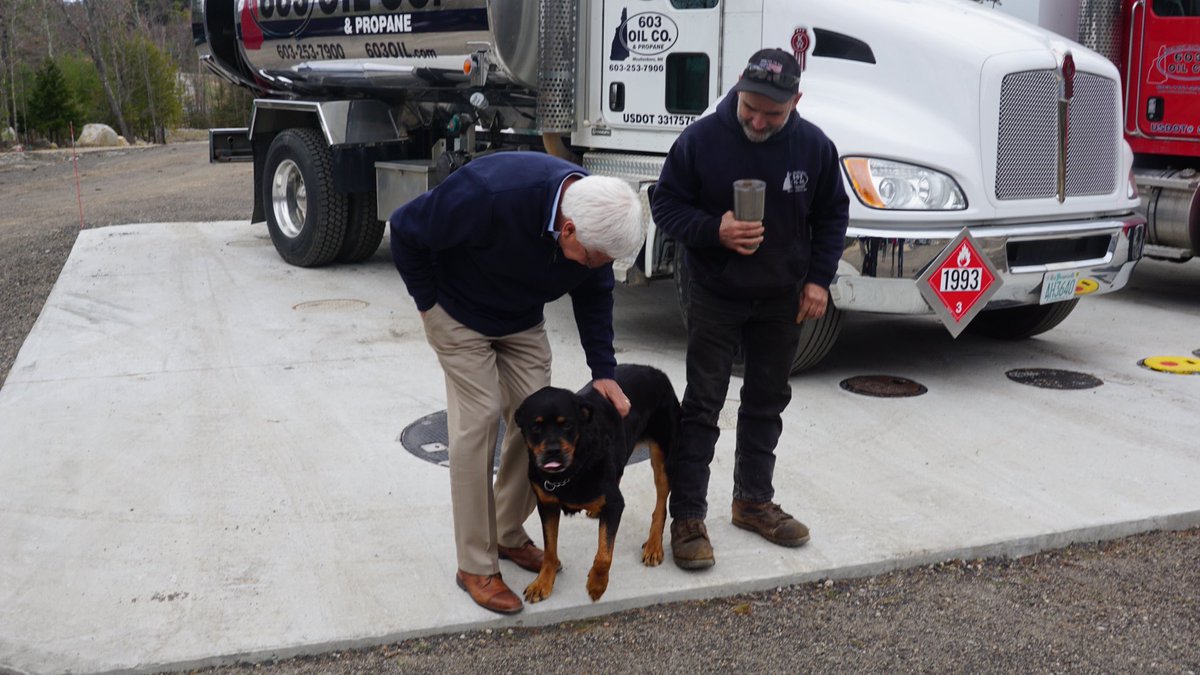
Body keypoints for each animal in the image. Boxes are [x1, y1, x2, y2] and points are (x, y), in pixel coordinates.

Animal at [513, 362, 681, 598]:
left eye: (567, 425)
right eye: (535, 426)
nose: (553, 451)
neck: (571, 470)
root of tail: (656, 371)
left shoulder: (615, 504)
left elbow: (604, 554)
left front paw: (597, 584)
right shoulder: (546, 504)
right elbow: (549, 550)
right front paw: (542, 583)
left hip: (663, 454)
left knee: (661, 503)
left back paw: (654, 546)